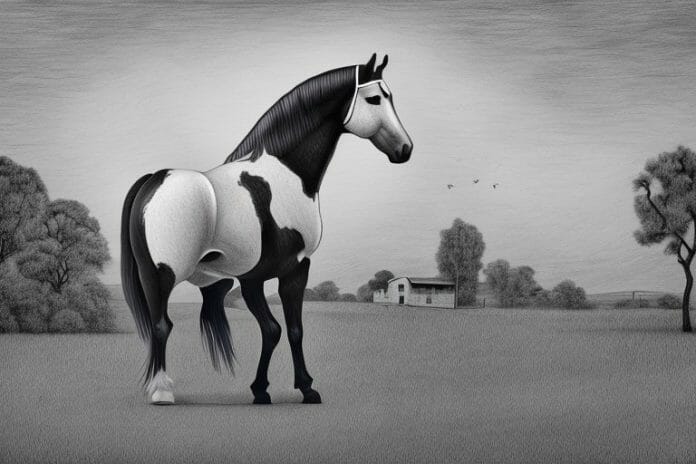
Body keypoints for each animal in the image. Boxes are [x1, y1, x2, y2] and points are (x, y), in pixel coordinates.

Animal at [120, 53, 413, 405]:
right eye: (374, 99)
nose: (405, 149)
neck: (284, 176)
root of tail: (155, 179)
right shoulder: (287, 270)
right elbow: (281, 328)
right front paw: (298, 387)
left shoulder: (262, 276)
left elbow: (284, 330)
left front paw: (272, 389)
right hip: (160, 275)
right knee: (161, 325)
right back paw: (162, 391)